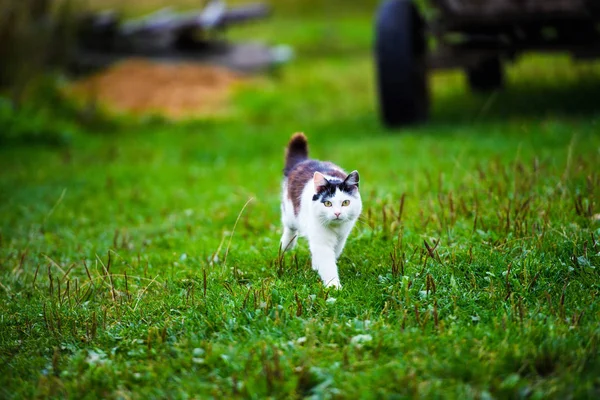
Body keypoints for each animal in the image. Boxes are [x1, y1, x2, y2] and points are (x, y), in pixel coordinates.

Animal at [280, 134, 360, 288]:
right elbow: (327, 263)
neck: (335, 229)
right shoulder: (321, 241)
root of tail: (304, 161)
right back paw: (286, 245)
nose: (337, 213)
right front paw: (334, 286)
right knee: (289, 228)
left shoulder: (342, 237)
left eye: (345, 202)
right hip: (290, 213)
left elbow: (333, 254)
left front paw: (317, 267)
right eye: (328, 203)